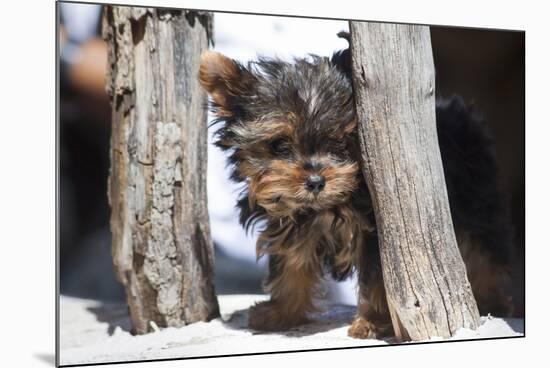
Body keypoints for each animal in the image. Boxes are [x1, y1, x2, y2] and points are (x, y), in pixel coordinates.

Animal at [199, 38, 516, 340]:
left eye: (340, 143)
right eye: (279, 145)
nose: (316, 182)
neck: (324, 206)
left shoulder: (376, 234)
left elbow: (378, 279)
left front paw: (372, 322)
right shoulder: (291, 222)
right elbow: (291, 261)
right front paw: (282, 313)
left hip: (475, 198)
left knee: (483, 249)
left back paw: (493, 301)